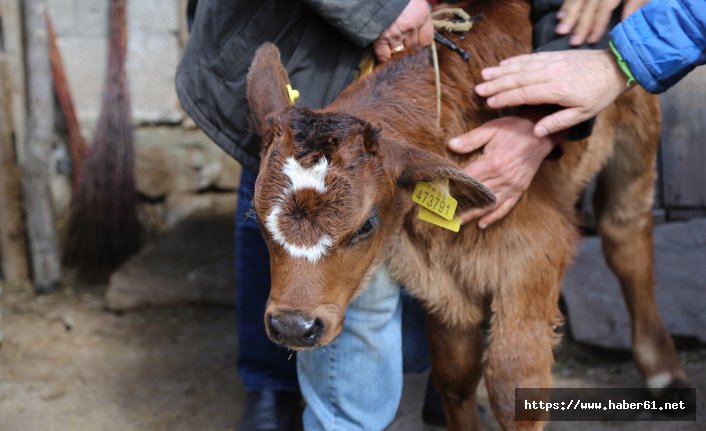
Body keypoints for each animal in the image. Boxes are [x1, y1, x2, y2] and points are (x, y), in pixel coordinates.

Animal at [245, 0, 684, 428]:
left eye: (365, 226)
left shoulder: (534, 250)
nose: (293, 326)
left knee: (625, 234)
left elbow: (513, 382)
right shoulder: (441, 275)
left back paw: (663, 372)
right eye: (258, 218)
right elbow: (455, 374)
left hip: (635, 123)